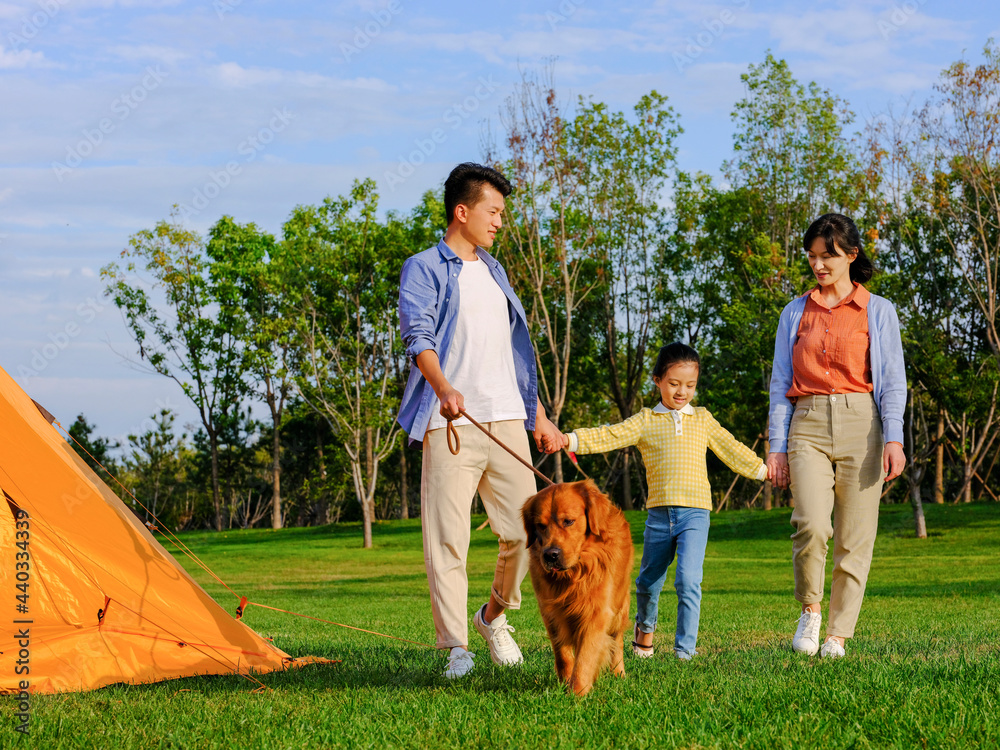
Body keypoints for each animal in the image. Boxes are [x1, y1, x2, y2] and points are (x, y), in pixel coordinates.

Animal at [524, 482, 632, 700]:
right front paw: (565, 682)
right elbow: (563, 653)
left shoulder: (597, 613)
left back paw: (618, 673)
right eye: (540, 525)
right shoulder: (551, 613)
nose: (550, 555)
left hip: (620, 607)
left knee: (617, 641)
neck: (574, 574)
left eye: (569, 521)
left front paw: (577, 693)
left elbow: (585, 656)